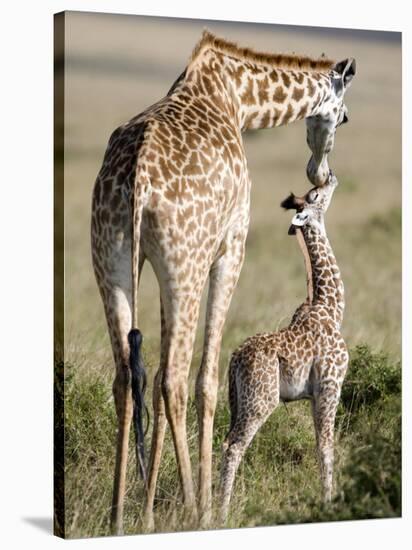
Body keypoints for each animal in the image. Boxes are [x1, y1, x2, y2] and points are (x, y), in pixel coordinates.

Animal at [219, 175, 348, 524]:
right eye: (315, 194)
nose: (332, 177)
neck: (331, 307)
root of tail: (234, 360)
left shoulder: (315, 394)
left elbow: (319, 443)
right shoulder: (330, 386)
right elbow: (326, 446)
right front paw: (329, 503)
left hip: (238, 401)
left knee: (225, 441)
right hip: (260, 401)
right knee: (234, 447)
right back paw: (219, 514)